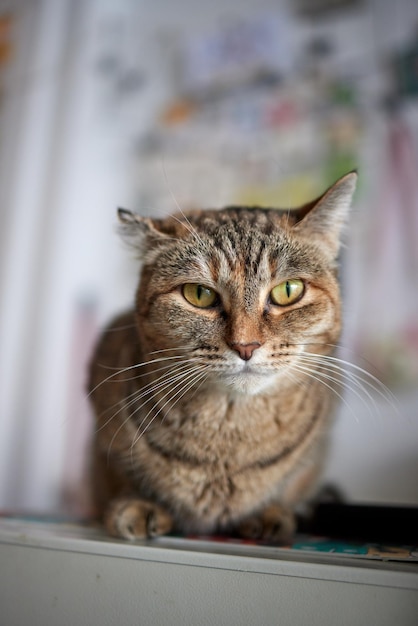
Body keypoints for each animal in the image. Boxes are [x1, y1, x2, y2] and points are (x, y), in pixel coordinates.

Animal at [87, 171, 356, 540]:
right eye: (199, 294)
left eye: (288, 291)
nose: (246, 346)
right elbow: (119, 477)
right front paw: (138, 505)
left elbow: (291, 483)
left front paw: (271, 512)